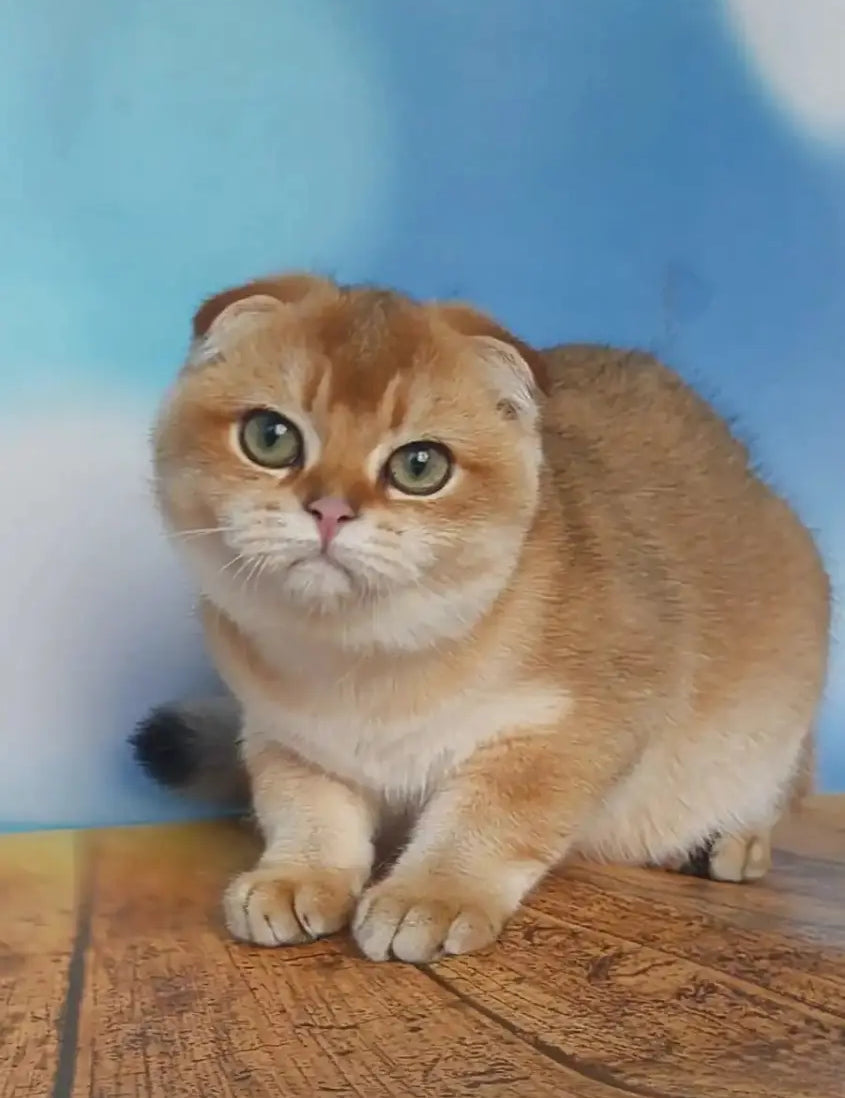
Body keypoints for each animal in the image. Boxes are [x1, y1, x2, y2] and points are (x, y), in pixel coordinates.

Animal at [133, 274, 829, 961]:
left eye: (420, 466)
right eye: (270, 438)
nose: (330, 510)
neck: (362, 660)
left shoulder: (577, 725)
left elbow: (490, 820)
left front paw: (432, 895)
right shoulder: (285, 736)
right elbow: (308, 809)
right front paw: (297, 875)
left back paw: (728, 841)